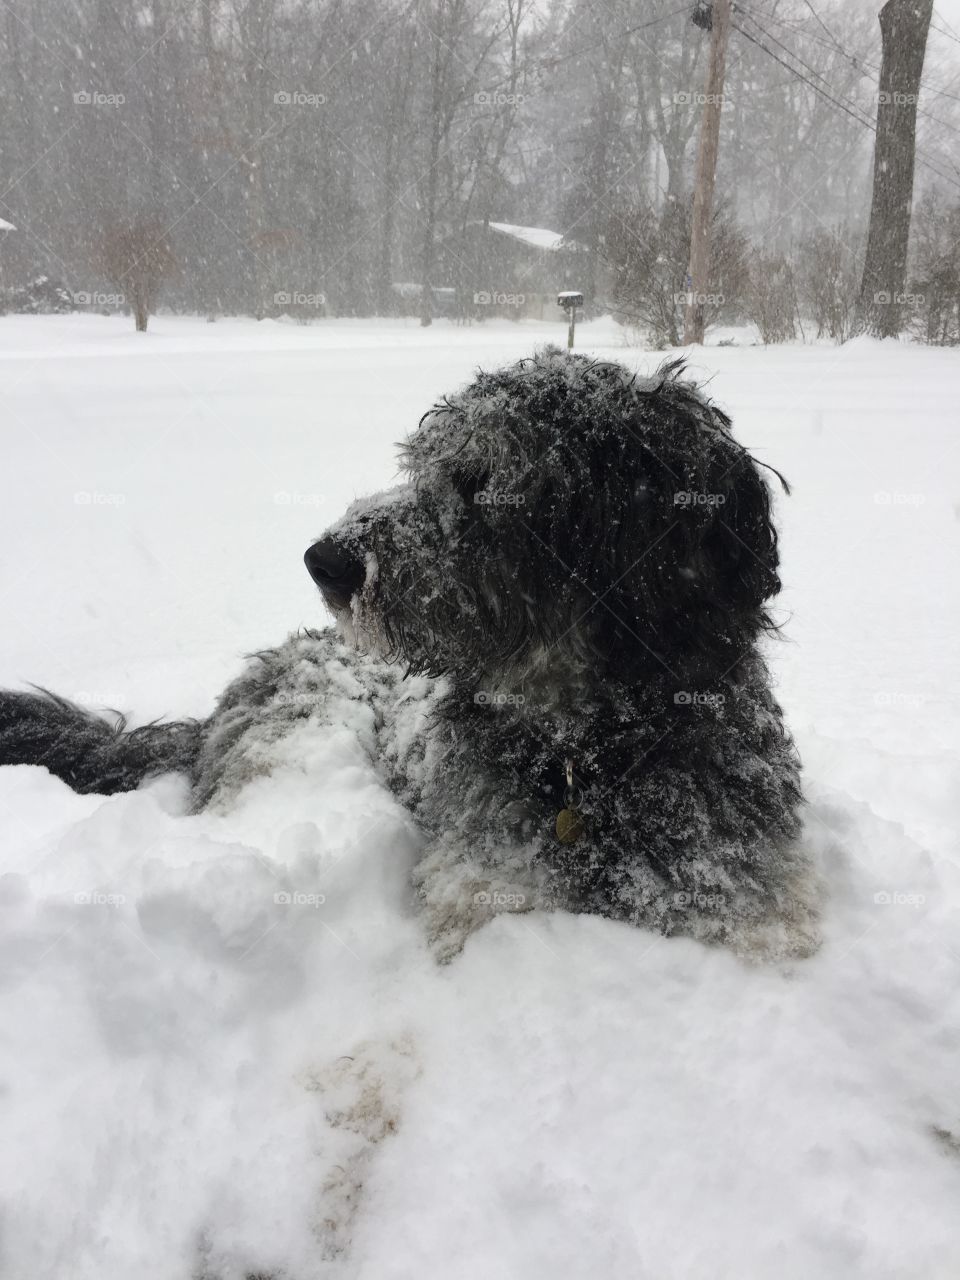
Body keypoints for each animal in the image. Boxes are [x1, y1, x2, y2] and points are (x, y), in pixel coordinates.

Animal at [0, 345, 814, 957]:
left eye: (482, 481)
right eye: (424, 463)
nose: (323, 560)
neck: (589, 752)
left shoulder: (738, 902)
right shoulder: (484, 889)